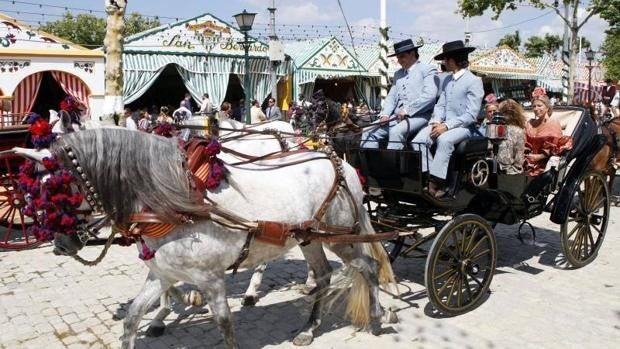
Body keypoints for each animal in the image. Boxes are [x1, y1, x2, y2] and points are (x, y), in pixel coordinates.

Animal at [17, 128, 394, 348]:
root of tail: (340, 163)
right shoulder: (162, 274)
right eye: (35, 188)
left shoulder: (211, 279)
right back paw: (309, 328)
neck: (175, 201)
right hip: (310, 238)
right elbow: (132, 318)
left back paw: (377, 318)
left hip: (340, 238)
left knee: (368, 266)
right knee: (325, 274)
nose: (60, 245)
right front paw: (157, 317)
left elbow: (224, 325)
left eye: (57, 188)